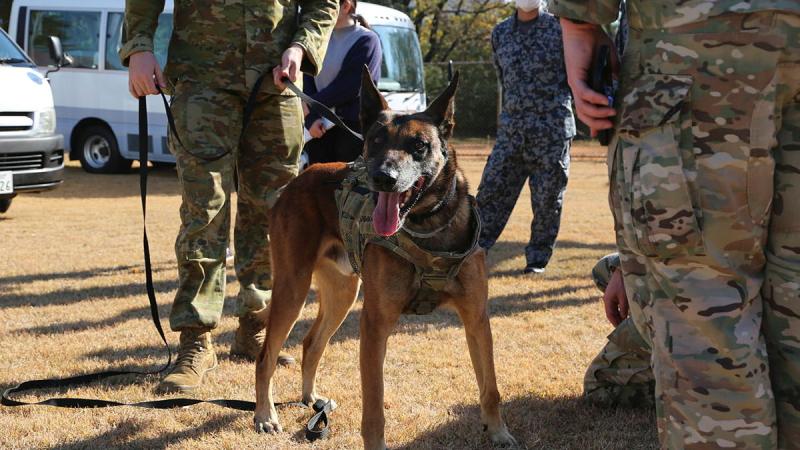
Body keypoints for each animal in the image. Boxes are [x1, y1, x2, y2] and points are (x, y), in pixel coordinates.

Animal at [256, 68, 520, 448]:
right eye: (376, 141)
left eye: (419, 146)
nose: (383, 177)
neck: (428, 226)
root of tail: (300, 179)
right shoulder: (375, 325)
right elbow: (374, 405)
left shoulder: (476, 318)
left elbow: (490, 387)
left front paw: (498, 431)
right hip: (292, 288)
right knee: (266, 356)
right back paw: (265, 416)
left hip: (342, 294)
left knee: (311, 343)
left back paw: (311, 400)